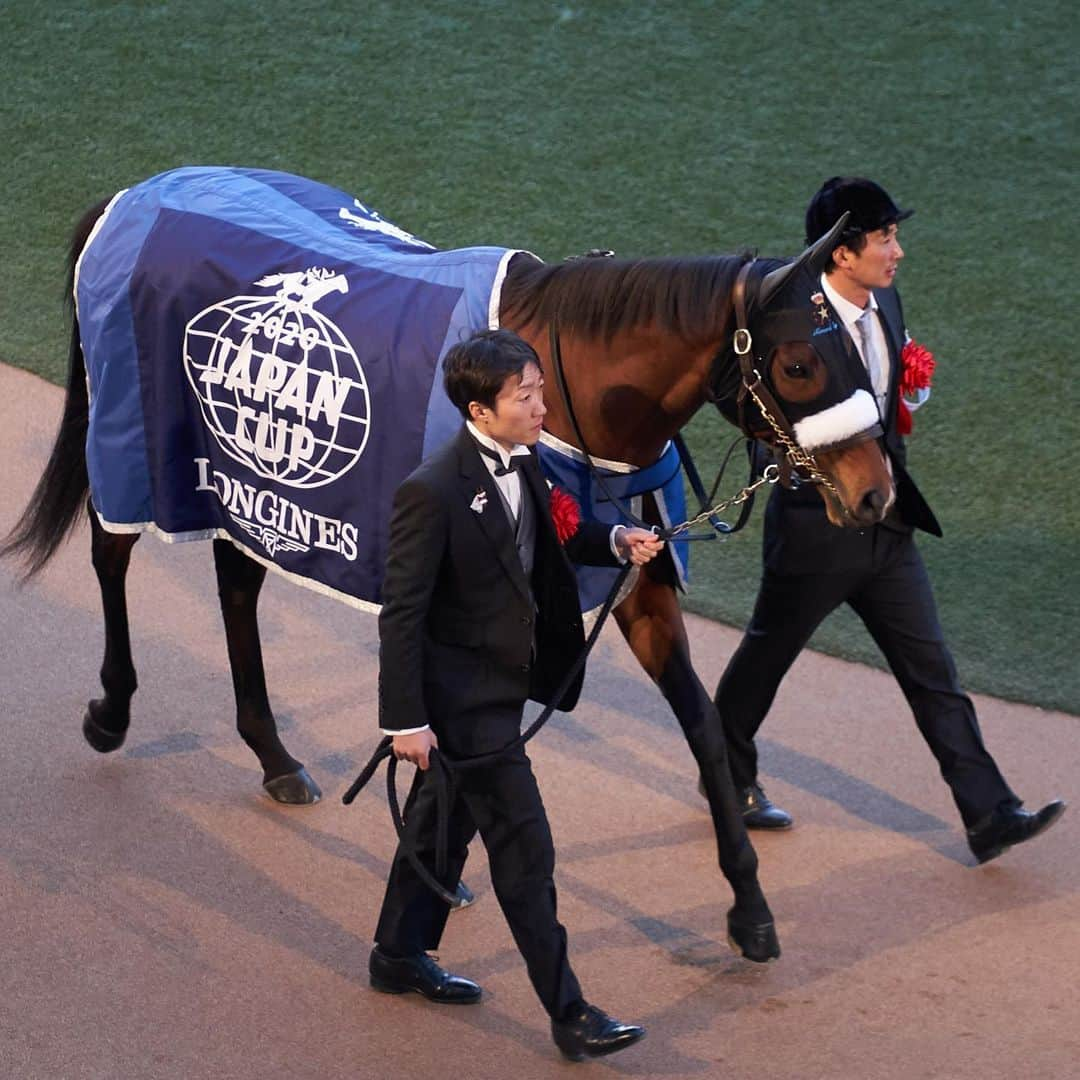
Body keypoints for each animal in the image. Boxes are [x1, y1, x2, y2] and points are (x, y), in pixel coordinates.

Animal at [2, 164, 894, 950]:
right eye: (799, 362)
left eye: (858, 347)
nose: (876, 496)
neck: (569, 394)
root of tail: (134, 192)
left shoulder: (634, 576)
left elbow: (703, 726)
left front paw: (750, 909)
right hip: (138, 439)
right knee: (111, 554)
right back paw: (113, 712)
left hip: (244, 480)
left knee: (239, 581)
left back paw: (273, 754)